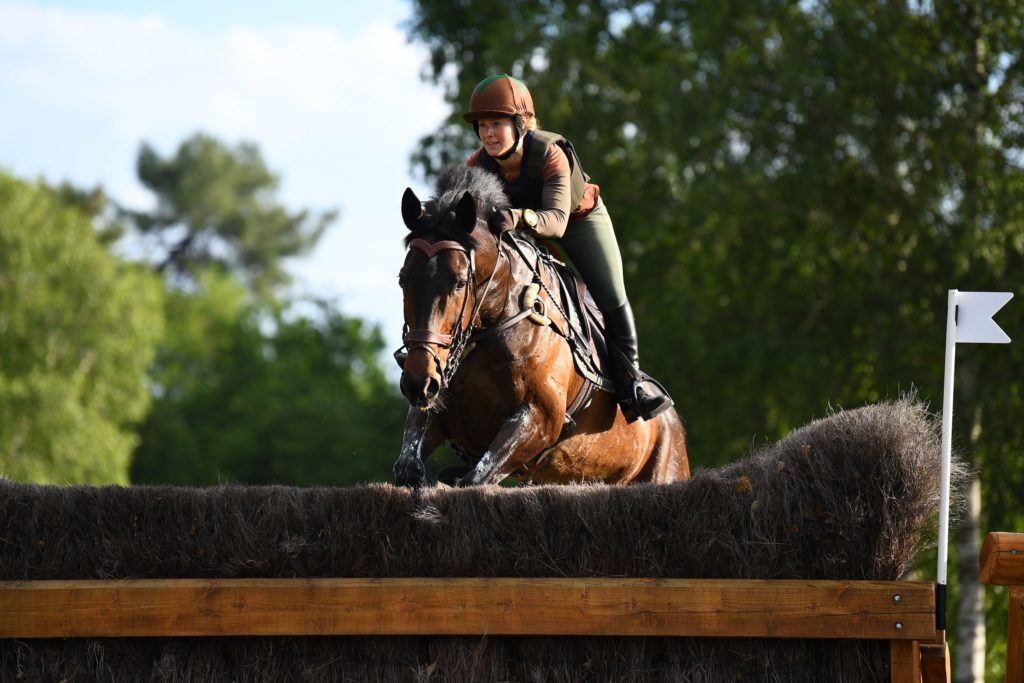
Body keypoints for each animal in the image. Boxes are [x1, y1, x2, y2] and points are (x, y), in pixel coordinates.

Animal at [391, 163, 688, 485]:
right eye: (403, 280)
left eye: (459, 283)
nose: (418, 382)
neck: (494, 324)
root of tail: (675, 426)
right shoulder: (437, 407)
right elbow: (409, 462)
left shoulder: (539, 419)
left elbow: (477, 478)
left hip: (665, 466)